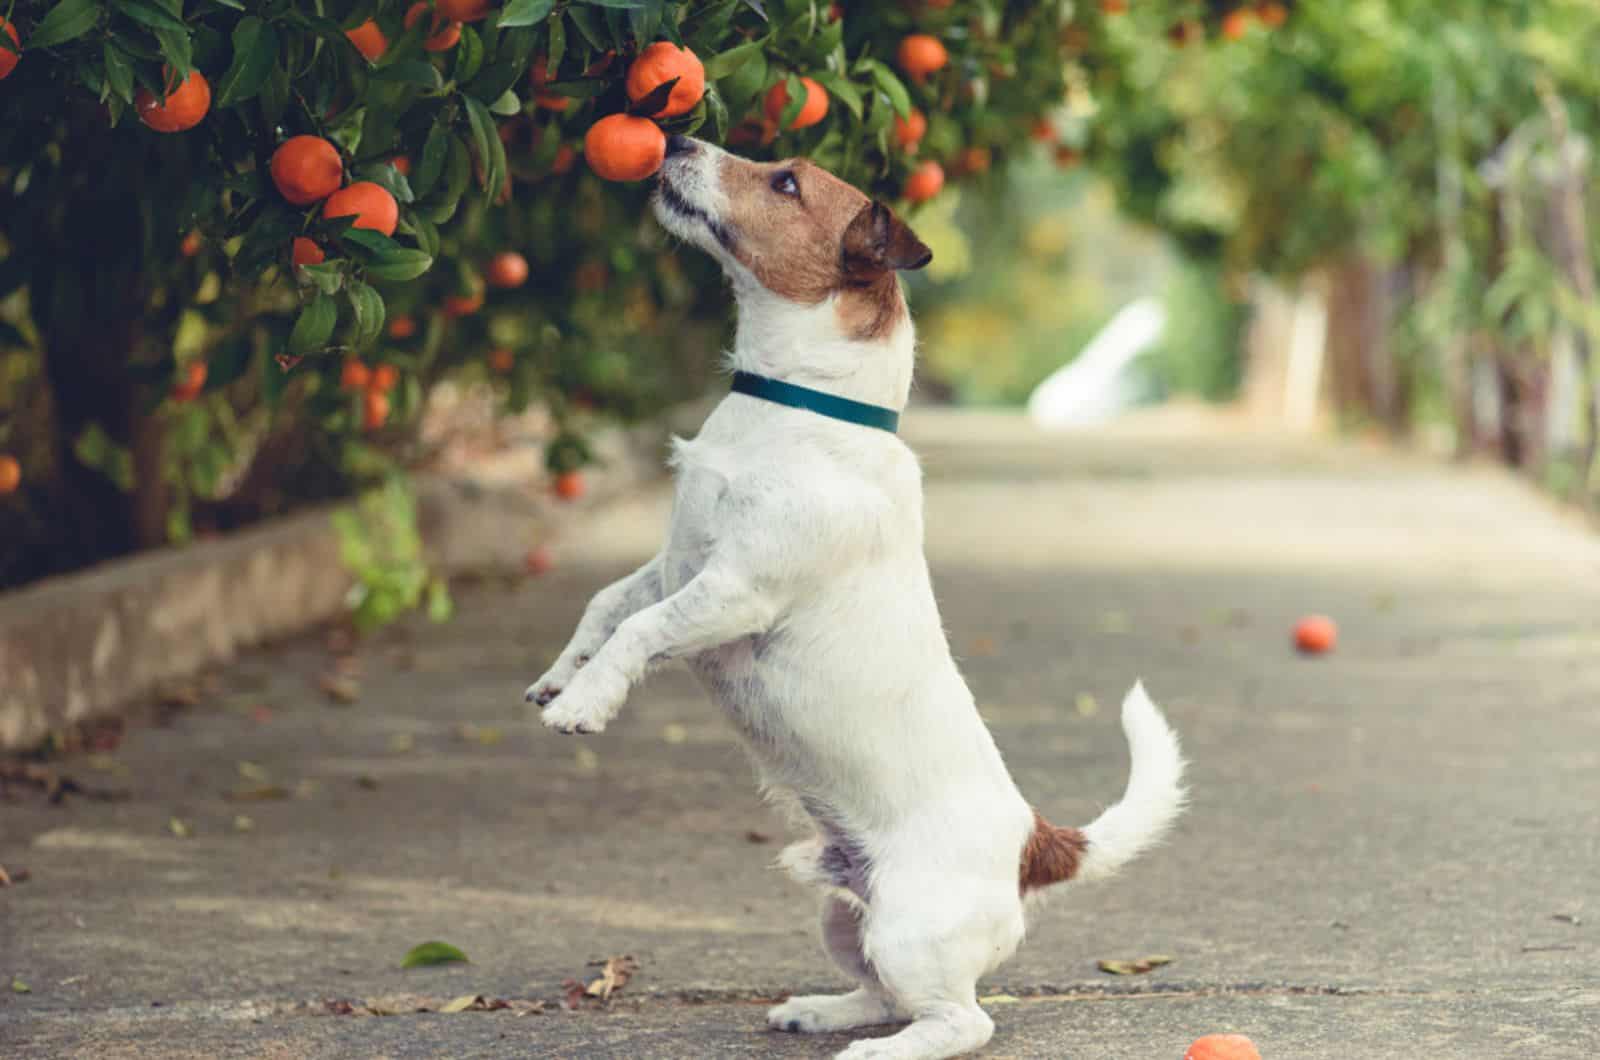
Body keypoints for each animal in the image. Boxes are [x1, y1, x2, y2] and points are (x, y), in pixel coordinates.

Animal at [528, 136, 1190, 1056]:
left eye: (785, 182)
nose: (679, 138)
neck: (797, 406)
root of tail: (1032, 842)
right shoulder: (674, 563)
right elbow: (604, 607)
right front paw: (561, 676)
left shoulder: (734, 591)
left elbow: (642, 632)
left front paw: (584, 705)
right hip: (847, 919)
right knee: (883, 992)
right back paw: (820, 1011)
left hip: (910, 929)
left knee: (961, 1021)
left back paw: (875, 1051)